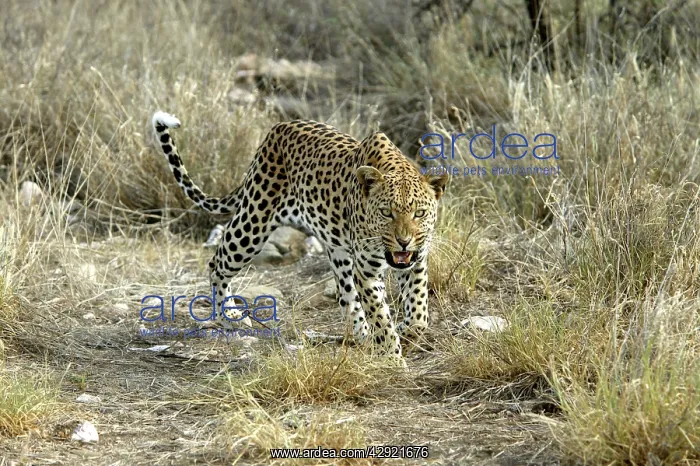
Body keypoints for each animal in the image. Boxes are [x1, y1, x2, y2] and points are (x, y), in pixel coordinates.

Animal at [152, 111, 448, 357]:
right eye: (386, 213)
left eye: (419, 213)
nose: (403, 241)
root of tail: (278, 128)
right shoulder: (367, 270)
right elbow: (380, 316)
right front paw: (392, 356)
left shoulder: (416, 261)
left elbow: (419, 308)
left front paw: (408, 332)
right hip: (253, 222)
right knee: (217, 262)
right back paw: (229, 316)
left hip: (336, 249)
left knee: (346, 296)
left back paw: (362, 335)